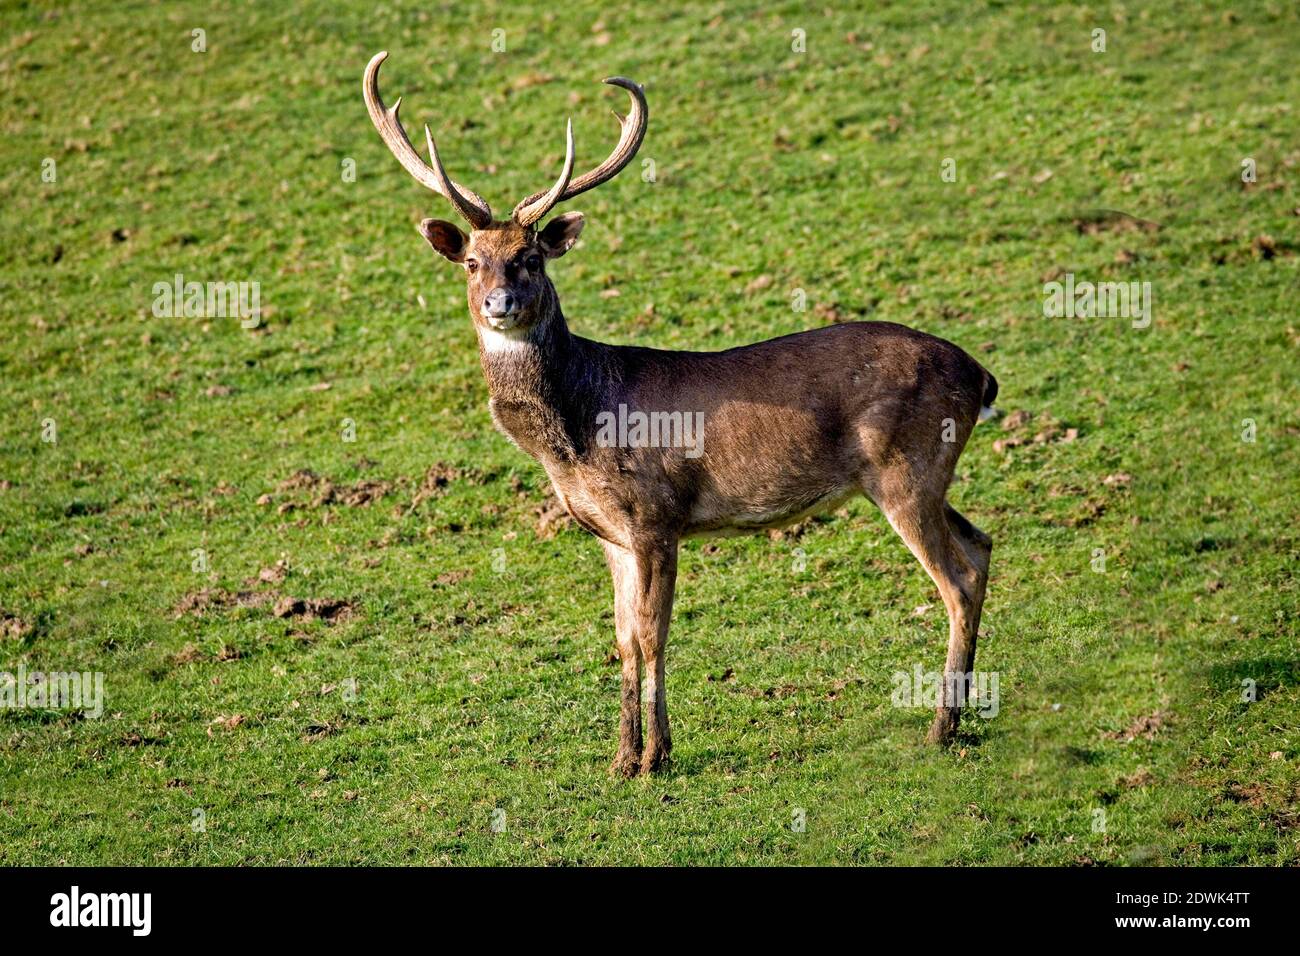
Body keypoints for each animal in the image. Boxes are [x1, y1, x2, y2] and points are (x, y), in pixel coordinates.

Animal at [361, 52, 998, 780]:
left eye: (531, 258)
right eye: (472, 260)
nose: (500, 302)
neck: (577, 433)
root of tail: (980, 376)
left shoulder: (657, 515)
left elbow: (651, 634)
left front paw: (655, 756)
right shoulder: (610, 532)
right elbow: (621, 636)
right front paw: (619, 758)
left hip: (905, 467)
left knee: (956, 579)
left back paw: (941, 726)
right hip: (924, 475)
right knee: (982, 546)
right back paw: (965, 713)